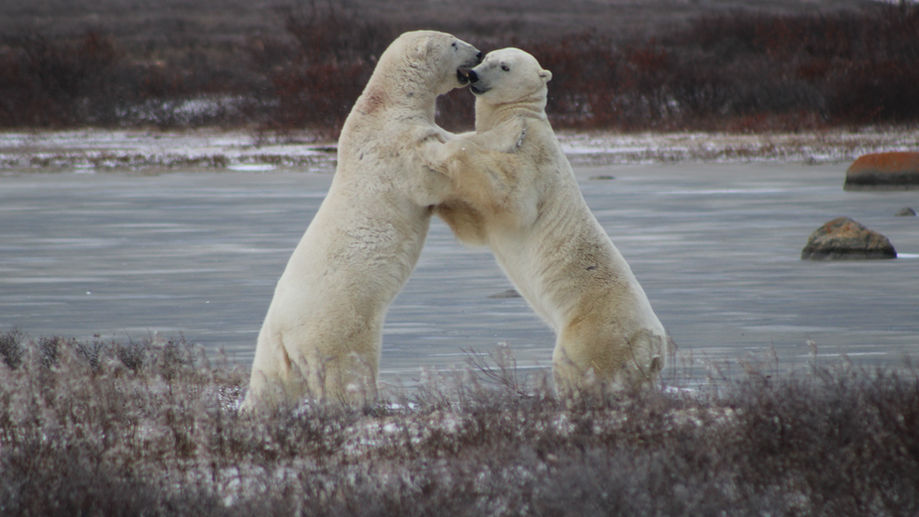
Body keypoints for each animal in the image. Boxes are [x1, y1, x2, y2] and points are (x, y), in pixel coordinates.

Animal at [241, 31, 482, 410]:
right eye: (455, 43)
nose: (480, 53)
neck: (384, 104)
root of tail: (282, 334)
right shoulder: (394, 147)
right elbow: (427, 172)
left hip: (271, 349)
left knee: (269, 382)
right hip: (337, 326)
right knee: (347, 369)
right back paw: (363, 401)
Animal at [426, 48, 671, 396]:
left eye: (504, 66)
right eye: (486, 57)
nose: (473, 75)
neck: (520, 116)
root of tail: (653, 347)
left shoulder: (533, 156)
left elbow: (512, 197)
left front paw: (443, 150)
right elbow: (476, 225)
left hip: (592, 329)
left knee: (574, 364)